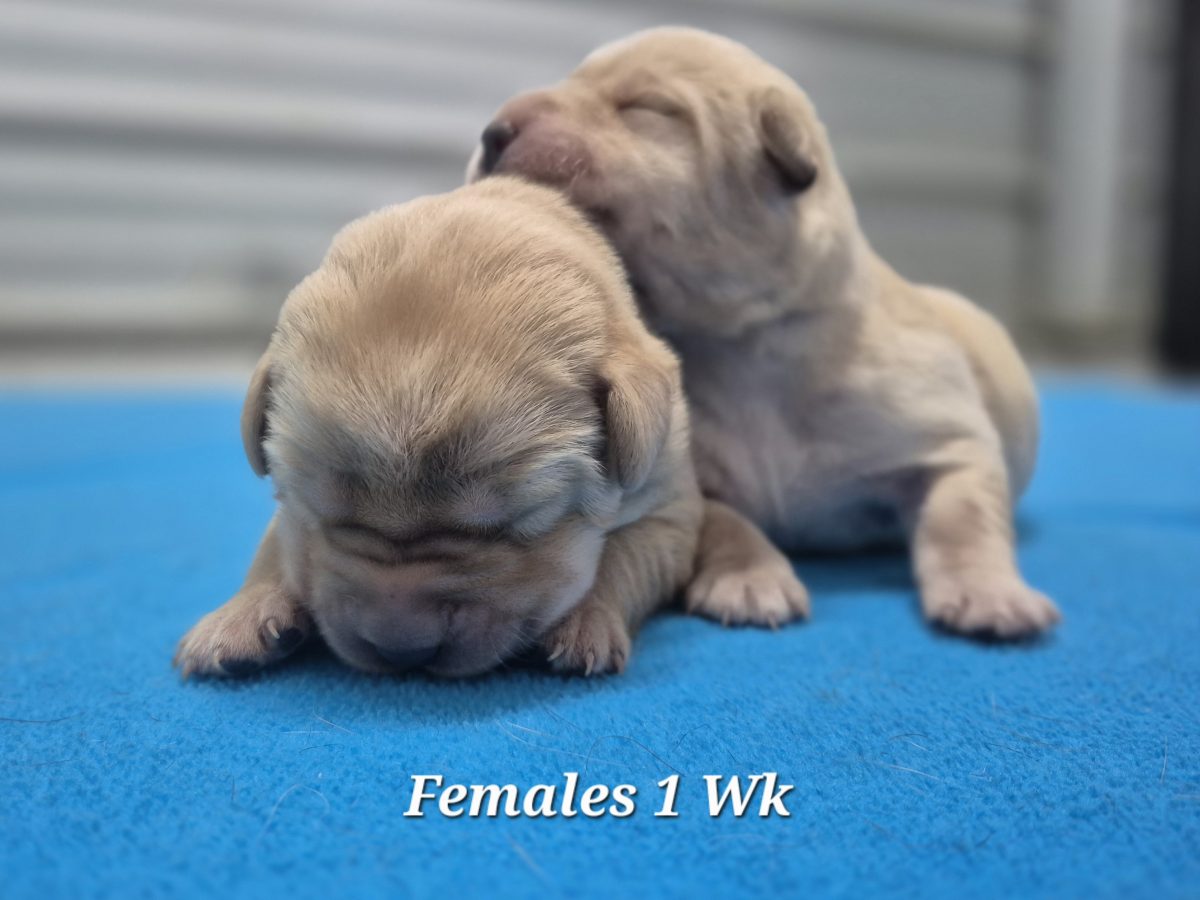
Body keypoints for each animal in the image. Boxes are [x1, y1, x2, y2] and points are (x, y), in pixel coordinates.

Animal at [174, 177, 701, 678]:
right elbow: (275, 546)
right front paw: (238, 616)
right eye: (324, 516)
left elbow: (624, 555)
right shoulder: (293, 522)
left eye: (508, 528)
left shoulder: (670, 510)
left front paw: (586, 622)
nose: (401, 649)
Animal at [469, 27, 1060, 638]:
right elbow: (726, 521)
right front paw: (750, 580)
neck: (743, 347)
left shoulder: (950, 440)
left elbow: (963, 514)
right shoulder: (691, 475)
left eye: (647, 108)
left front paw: (988, 593)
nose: (492, 132)